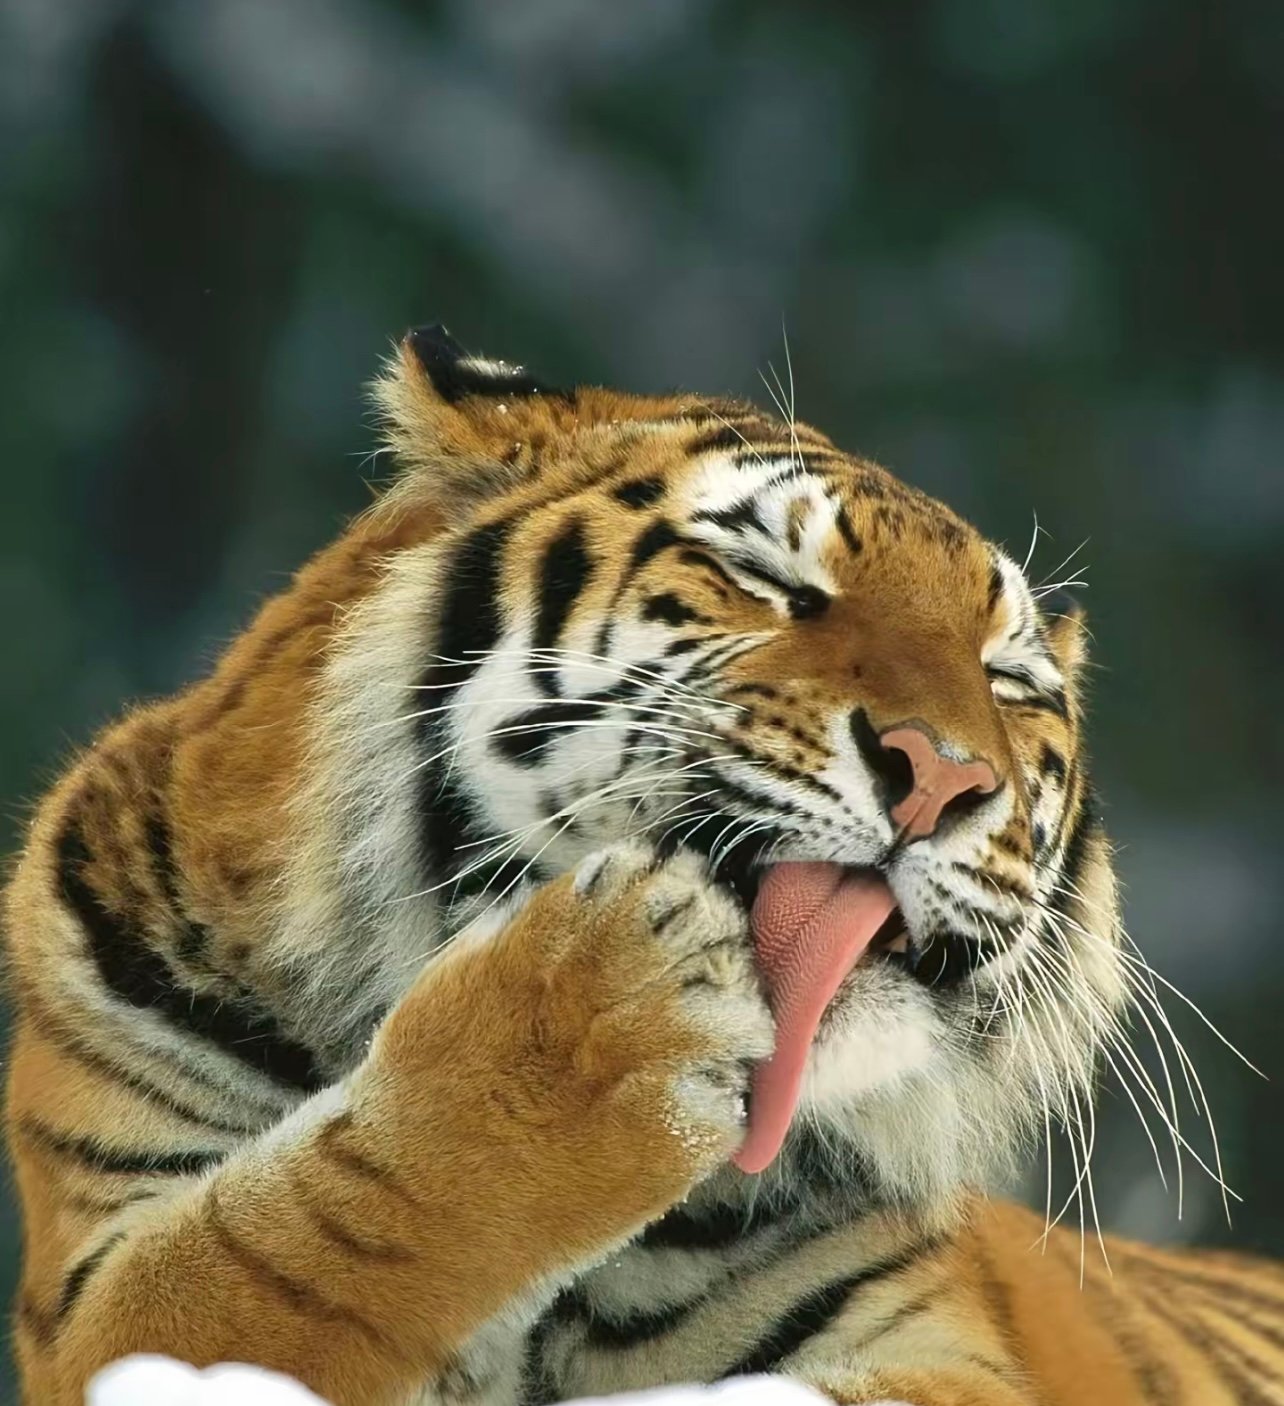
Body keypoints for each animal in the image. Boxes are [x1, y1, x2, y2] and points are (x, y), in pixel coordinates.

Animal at [5, 323, 1282, 1406]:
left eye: (1009, 680)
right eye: (772, 578)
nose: (943, 772)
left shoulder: (934, 1354)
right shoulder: (105, 1294)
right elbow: (283, 1242)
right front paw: (598, 1013)